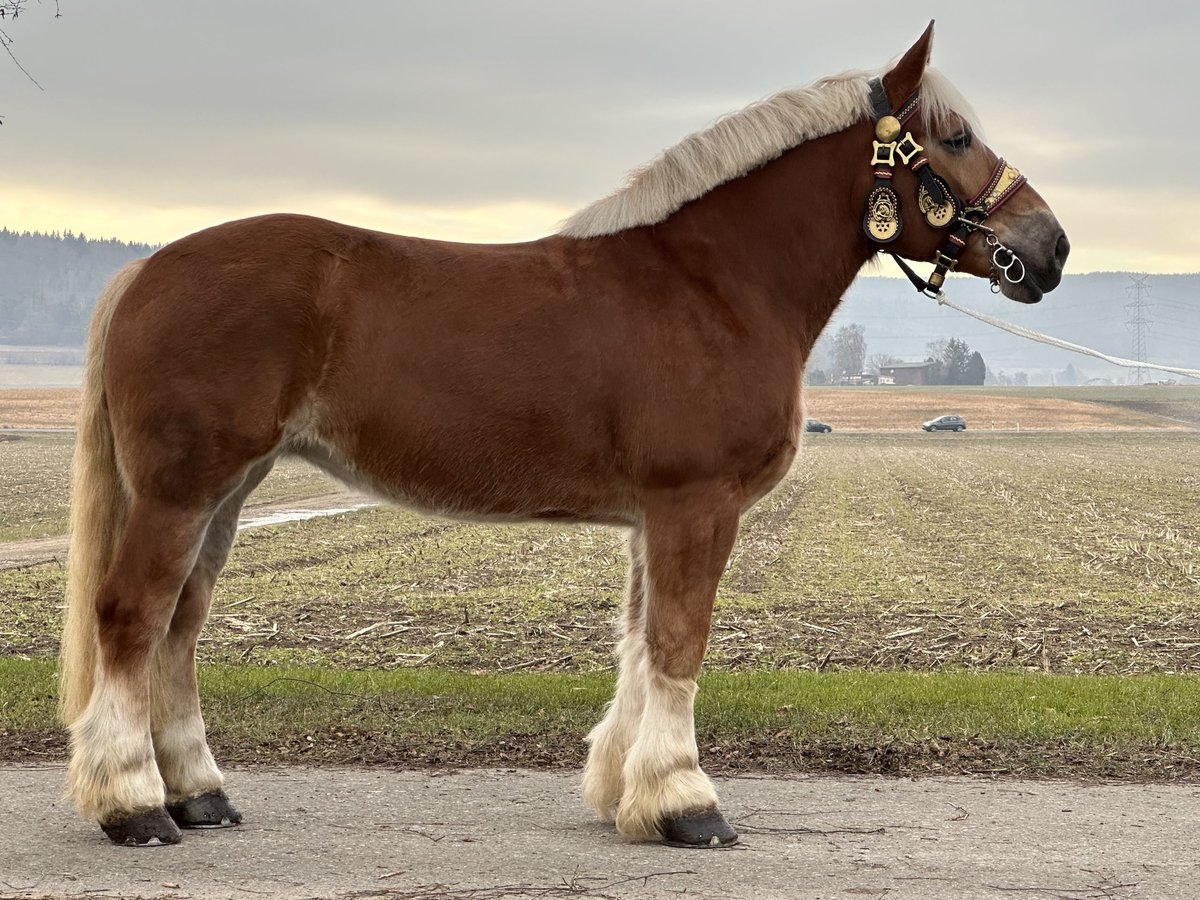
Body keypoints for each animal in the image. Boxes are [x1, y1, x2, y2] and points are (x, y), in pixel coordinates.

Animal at [56, 22, 1070, 854]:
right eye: (955, 138)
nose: (1051, 247)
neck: (714, 284)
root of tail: (146, 269)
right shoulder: (695, 505)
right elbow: (679, 642)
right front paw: (686, 804)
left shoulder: (654, 518)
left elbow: (639, 645)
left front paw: (627, 791)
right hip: (181, 490)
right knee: (133, 616)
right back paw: (134, 806)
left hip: (228, 491)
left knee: (180, 627)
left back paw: (199, 795)